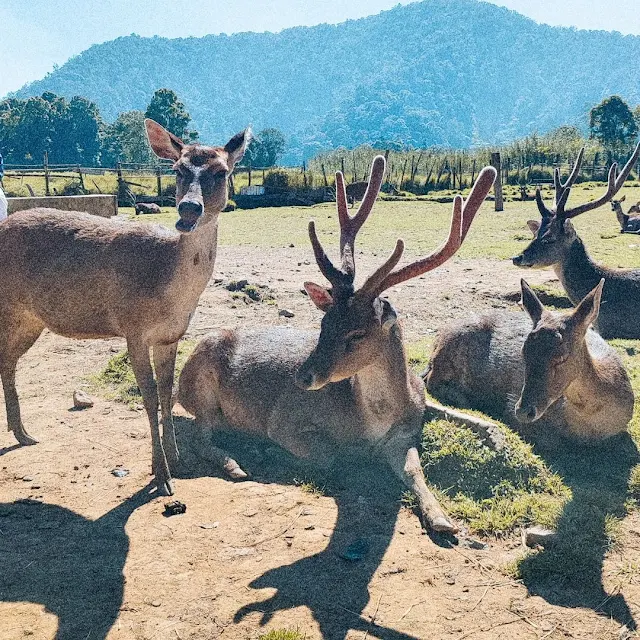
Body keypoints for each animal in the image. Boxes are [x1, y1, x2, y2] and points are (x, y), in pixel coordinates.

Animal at [0, 117, 248, 496]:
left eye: (221, 172)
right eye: (177, 169)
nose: (189, 208)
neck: (169, 294)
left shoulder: (170, 335)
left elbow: (168, 393)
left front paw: (176, 459)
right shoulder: (133, 328)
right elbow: (148, 396)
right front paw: (161, 477)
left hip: (30, 318)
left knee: (8, 360)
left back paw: (24, 434)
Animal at [178, 156, 498, 536]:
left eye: (357, 334)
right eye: (323, 323)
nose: (303, 376)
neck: (370, 423)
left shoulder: (406, 430)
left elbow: (415, 468)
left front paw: (442, 519)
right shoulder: (284, 420)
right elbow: (330, 456)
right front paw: (274, 452)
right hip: (201, 390)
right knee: (197, 433)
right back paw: (235, 463)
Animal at [424, 278, 636, 442]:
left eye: (562, 357)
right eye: (524, 352)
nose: (523, 411)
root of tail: (437, 338)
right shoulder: (513, 397)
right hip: (447, 350)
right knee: (430, 380)